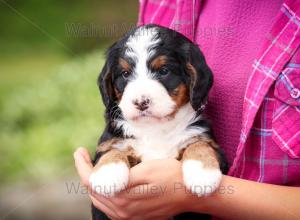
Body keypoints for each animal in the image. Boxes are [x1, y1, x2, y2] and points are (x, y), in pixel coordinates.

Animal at [90, 24, 226, 220]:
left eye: (163, 71)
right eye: (125, 74)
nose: (141, 102)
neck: (155, 128)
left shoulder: (207, 140)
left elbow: (199, 145)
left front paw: (203, 175)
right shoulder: (111, 141)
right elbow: (112, 151)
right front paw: (107, 176)